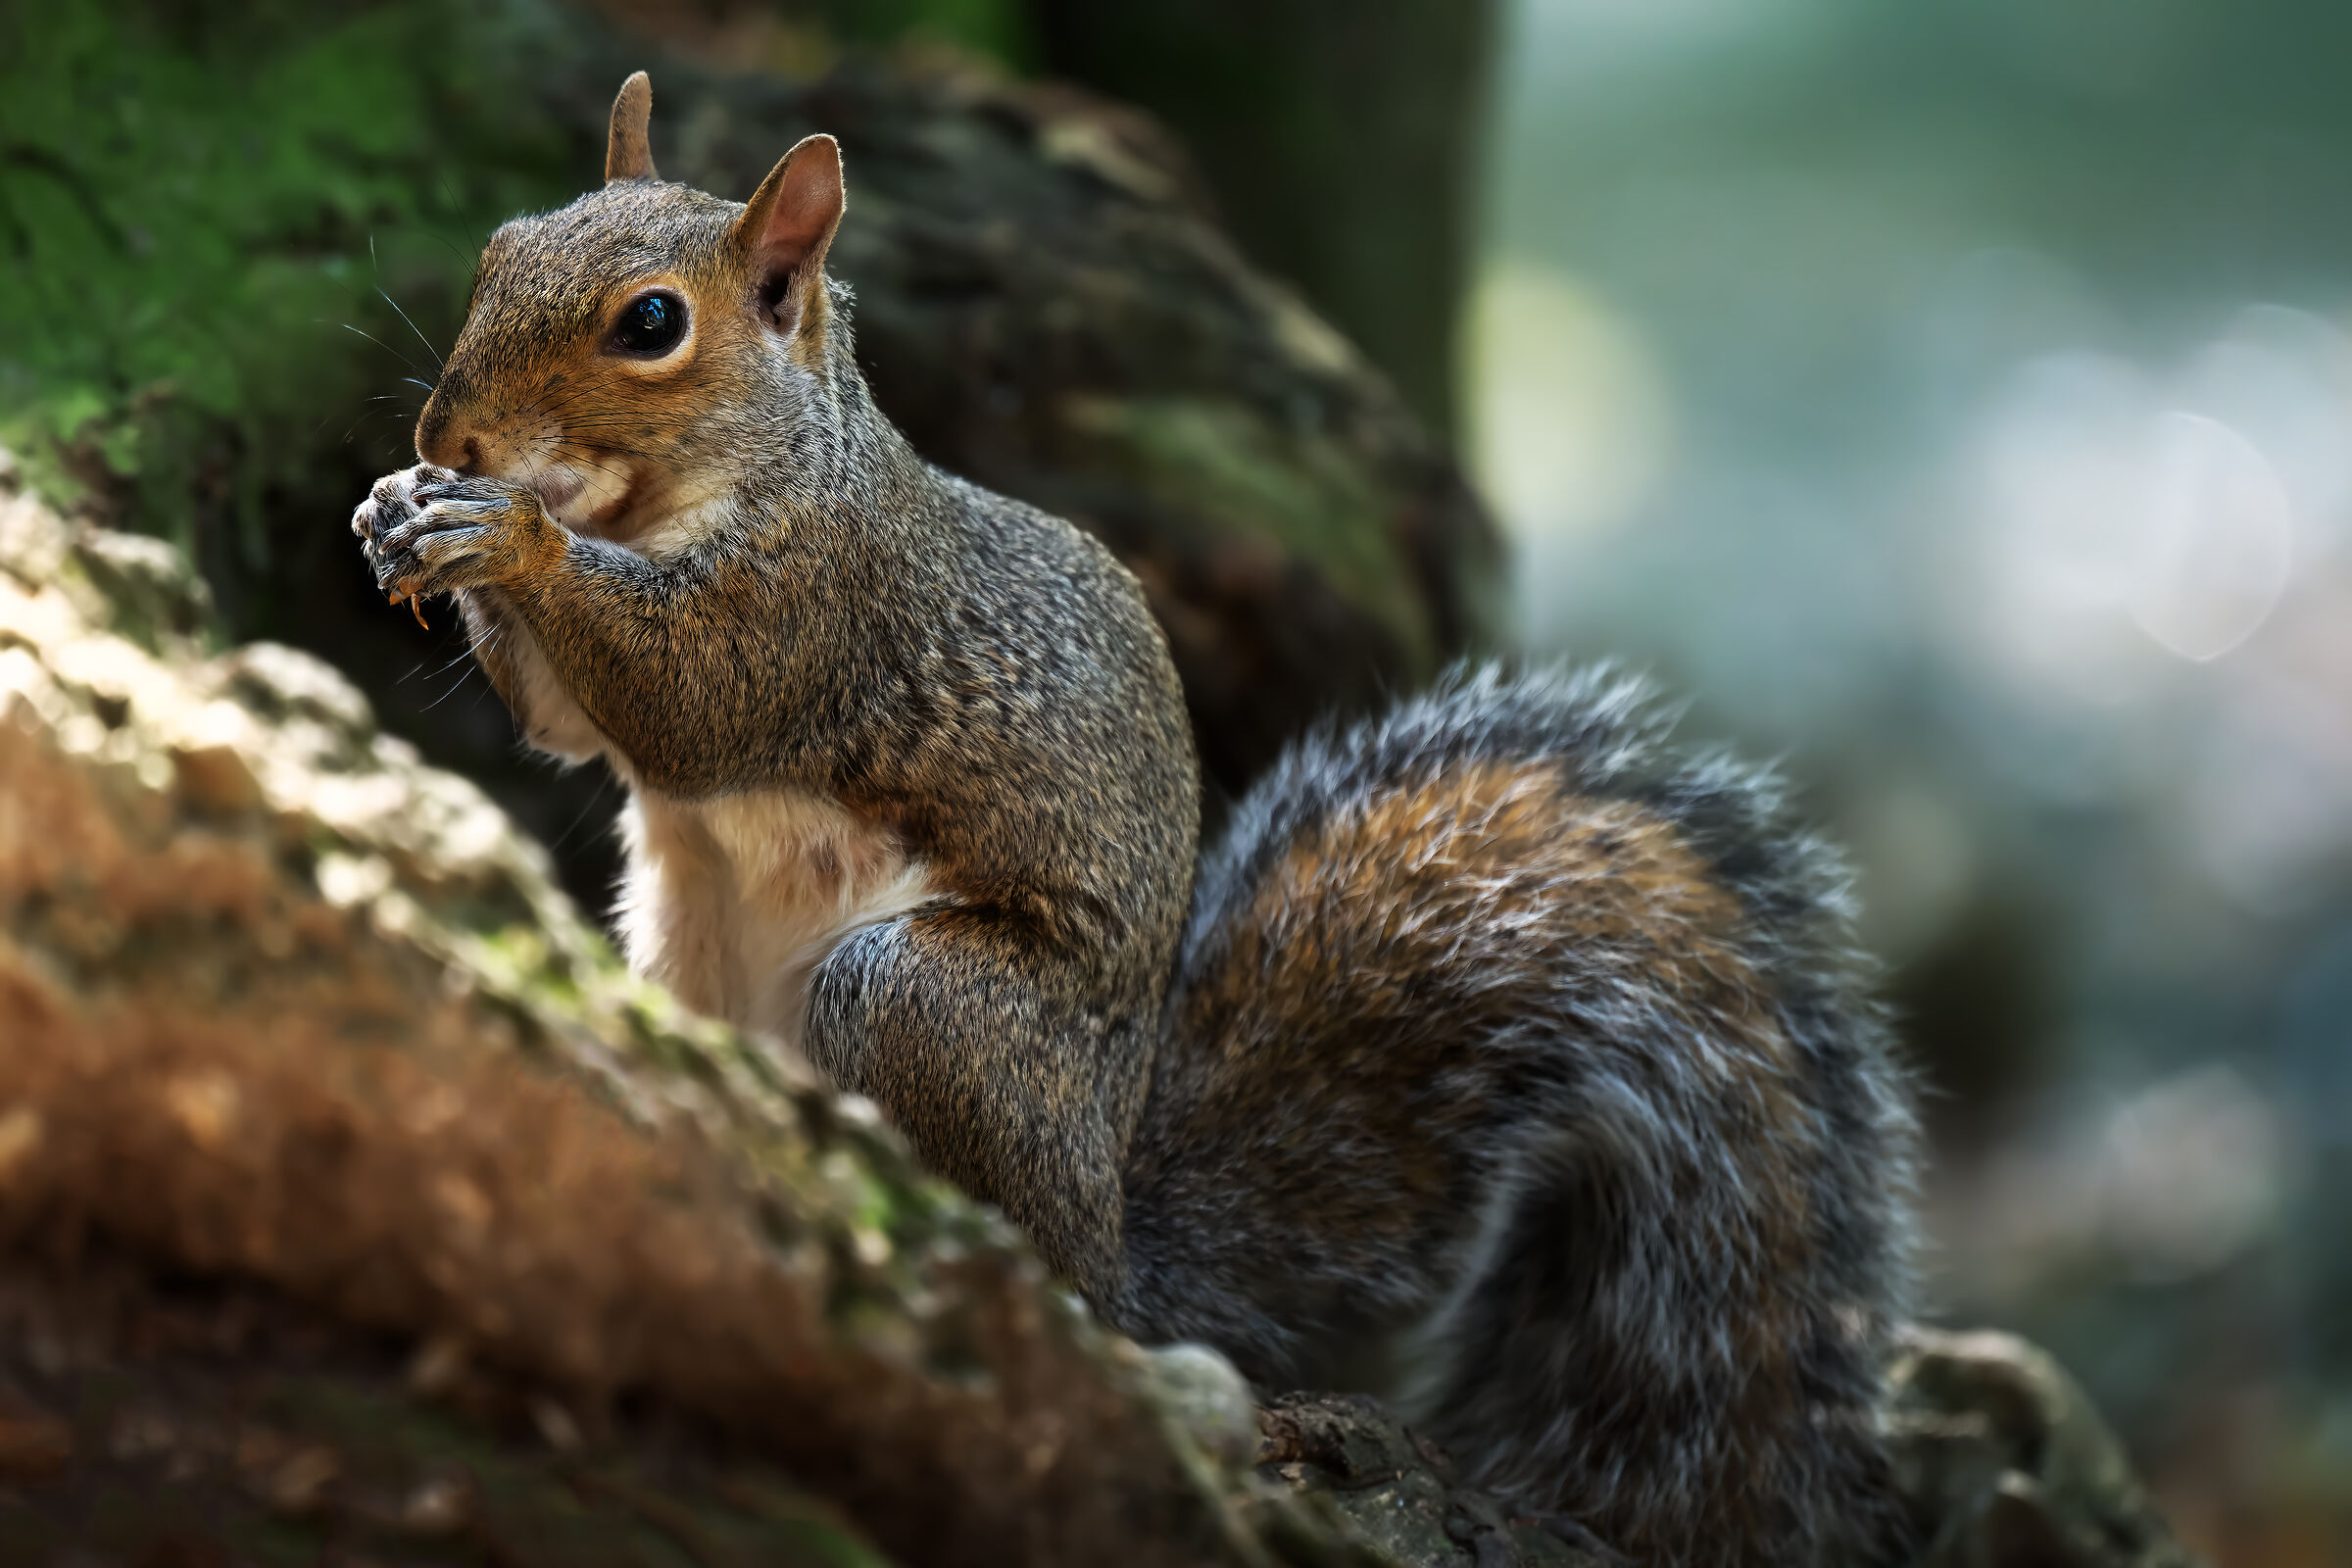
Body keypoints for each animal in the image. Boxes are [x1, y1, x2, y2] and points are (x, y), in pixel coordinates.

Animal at [351, 73, 1920, 1568]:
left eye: (652, 324)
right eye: (500, 248)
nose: (448, 432)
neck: (721, 485)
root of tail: (1110, 1242)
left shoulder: (819, 612)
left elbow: (688, 700)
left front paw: (502, 532)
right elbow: (569, 729)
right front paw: (401, 510)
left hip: (928, 1009)